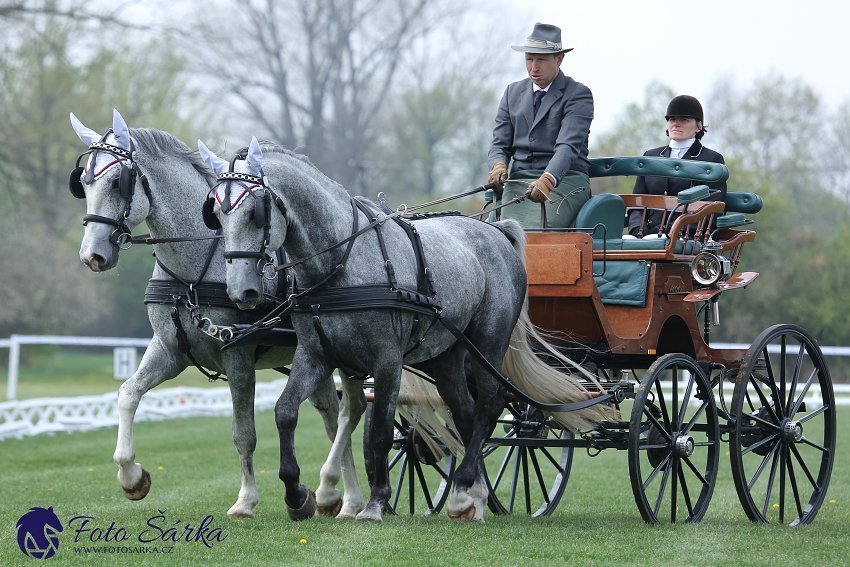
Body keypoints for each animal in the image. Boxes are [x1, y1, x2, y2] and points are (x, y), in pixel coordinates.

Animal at [70, 111, 364, 520]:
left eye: (118, 182)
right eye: (83, 181)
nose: (91, 256)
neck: (194, 272)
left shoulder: (237, 356)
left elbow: (244, 433)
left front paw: (245, 500)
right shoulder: (169, 351)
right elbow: (128, 394)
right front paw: (131, 477)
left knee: (348, 414)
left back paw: (347, 498)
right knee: (331, 413)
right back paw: (338, 497)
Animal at [202, 139, 612, 524]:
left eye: (254, 212)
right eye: (217, 214)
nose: (241, 292)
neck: (340, 262)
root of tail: (496, 229)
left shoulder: (387, 360)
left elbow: (381, 432)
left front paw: (374, 504)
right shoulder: (316, 355)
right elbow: (285, 412)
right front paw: (297, 495)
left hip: (489, 343)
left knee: (490, 404)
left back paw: (465, 485)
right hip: (447, 356)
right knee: (466, 412)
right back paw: (470, 497)